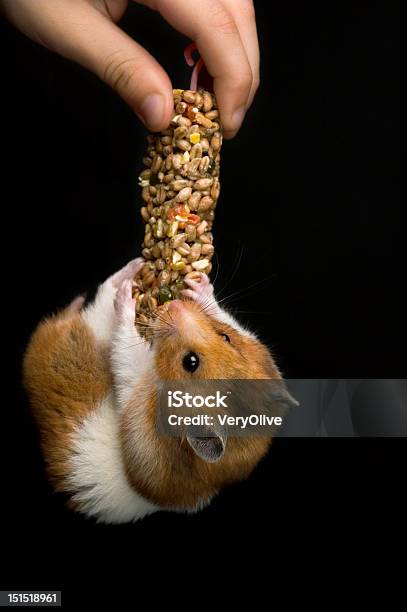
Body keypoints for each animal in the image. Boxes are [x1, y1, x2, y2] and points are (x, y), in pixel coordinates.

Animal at [23, 258, 294, 520]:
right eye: (225, 337)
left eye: (190, 362)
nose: (176, 306)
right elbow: (228, 318)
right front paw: (199, 286)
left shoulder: (136, 399)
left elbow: (127, 355)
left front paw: (128, 304)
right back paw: (133, 267)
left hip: (82, 335)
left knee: (98, 307)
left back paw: (121, 291)